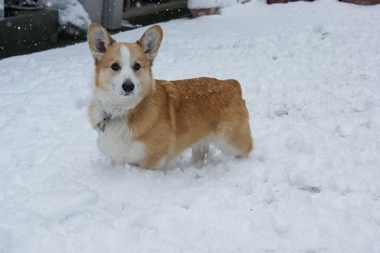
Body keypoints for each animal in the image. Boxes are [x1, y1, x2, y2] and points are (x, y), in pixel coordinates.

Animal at [86, 23, 252, 169]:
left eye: (137, 66)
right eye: (115, 66)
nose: (128, 86)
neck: (122, 111)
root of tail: (231, 83)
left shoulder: (153, 158)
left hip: (231, 141)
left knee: (247, 149)